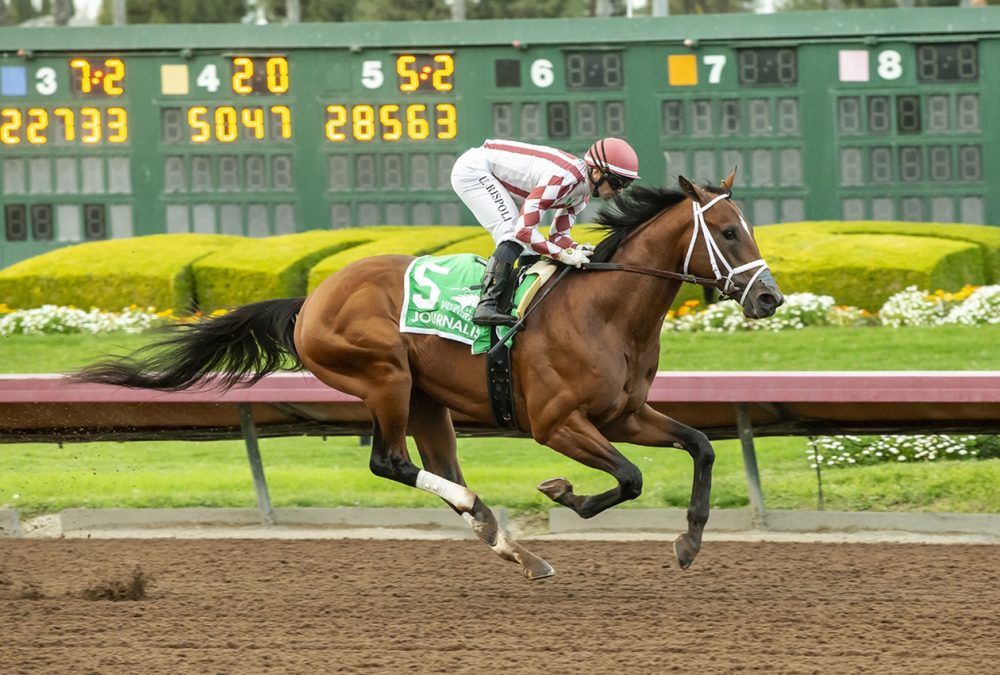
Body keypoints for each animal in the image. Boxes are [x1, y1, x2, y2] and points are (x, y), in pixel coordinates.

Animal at [74, 172, 784, 580]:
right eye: (728, 231)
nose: (770, 298)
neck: (605, 311)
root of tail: (312, 299)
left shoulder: (625, 413)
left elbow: (701, 445)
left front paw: (689, 541)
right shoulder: (557, 424)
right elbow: (630, 478)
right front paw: (564, 493)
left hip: (427, 401)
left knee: (438, 468)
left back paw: (513, 546)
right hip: (384, 376)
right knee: (389, 462)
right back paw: (491, 521)